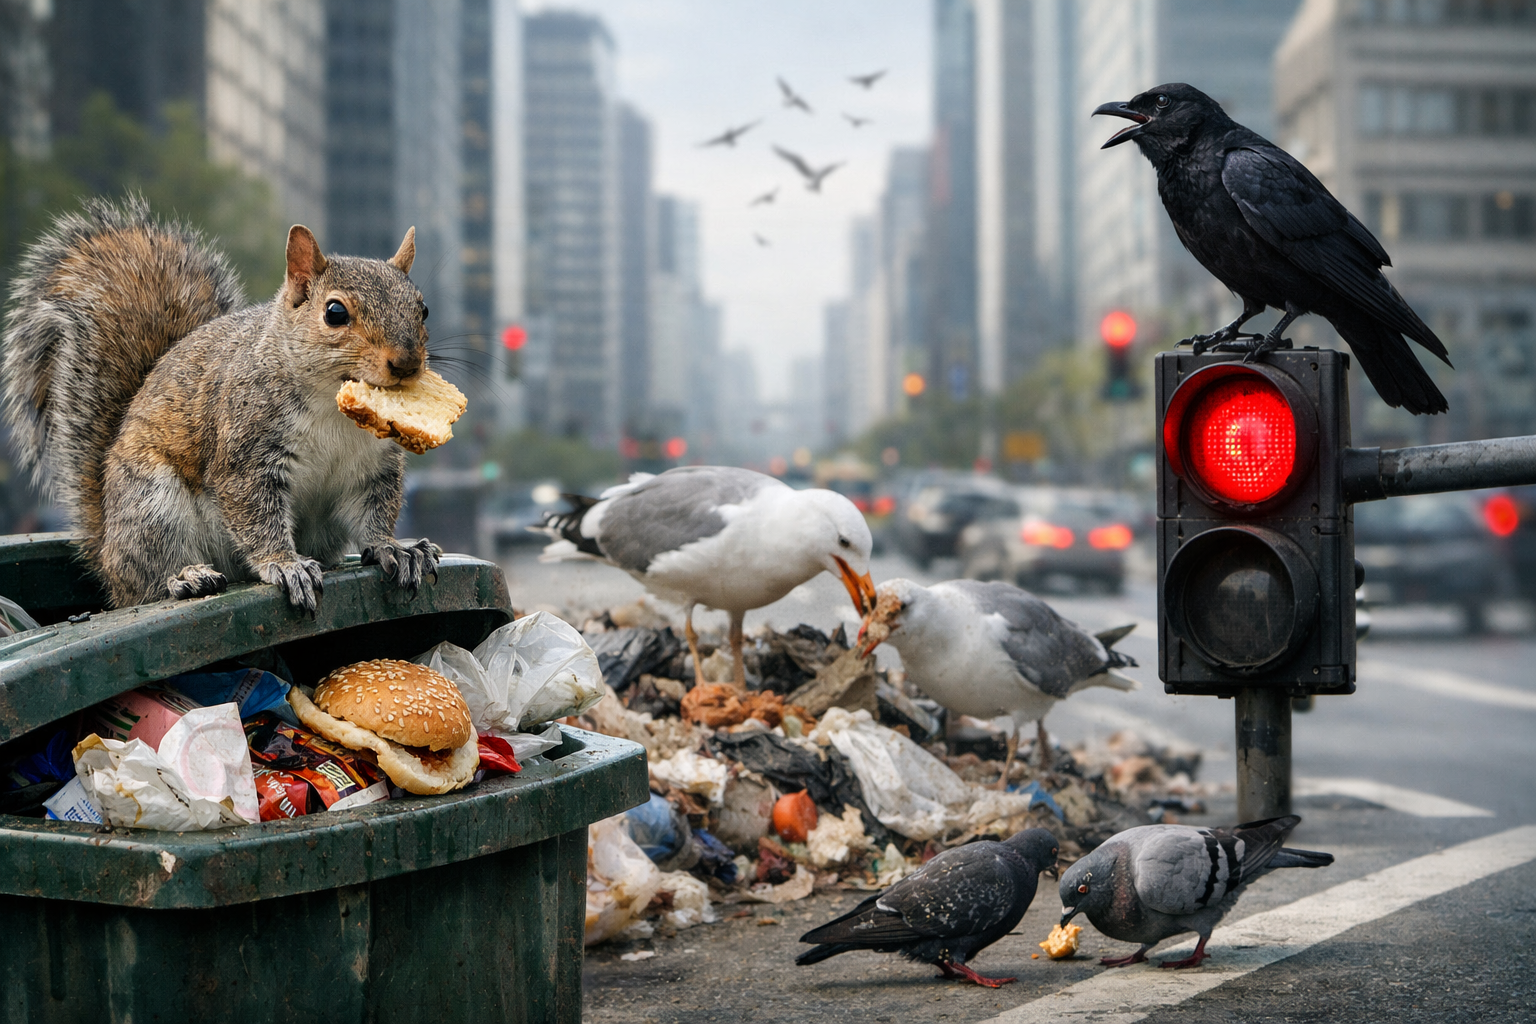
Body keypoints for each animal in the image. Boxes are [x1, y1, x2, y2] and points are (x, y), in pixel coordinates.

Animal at [1, 195, 440, 614]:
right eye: (334, 313)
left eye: (423, 309)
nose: (406, 363)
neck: (334, 411)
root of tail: (106, 549)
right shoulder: (246, 454)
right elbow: (256, 515)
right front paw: (286, 565)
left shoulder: (373, 468)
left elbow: (374, 512)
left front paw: (394, 548)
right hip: (151, 505)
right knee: (148, 581)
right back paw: (185, 578)